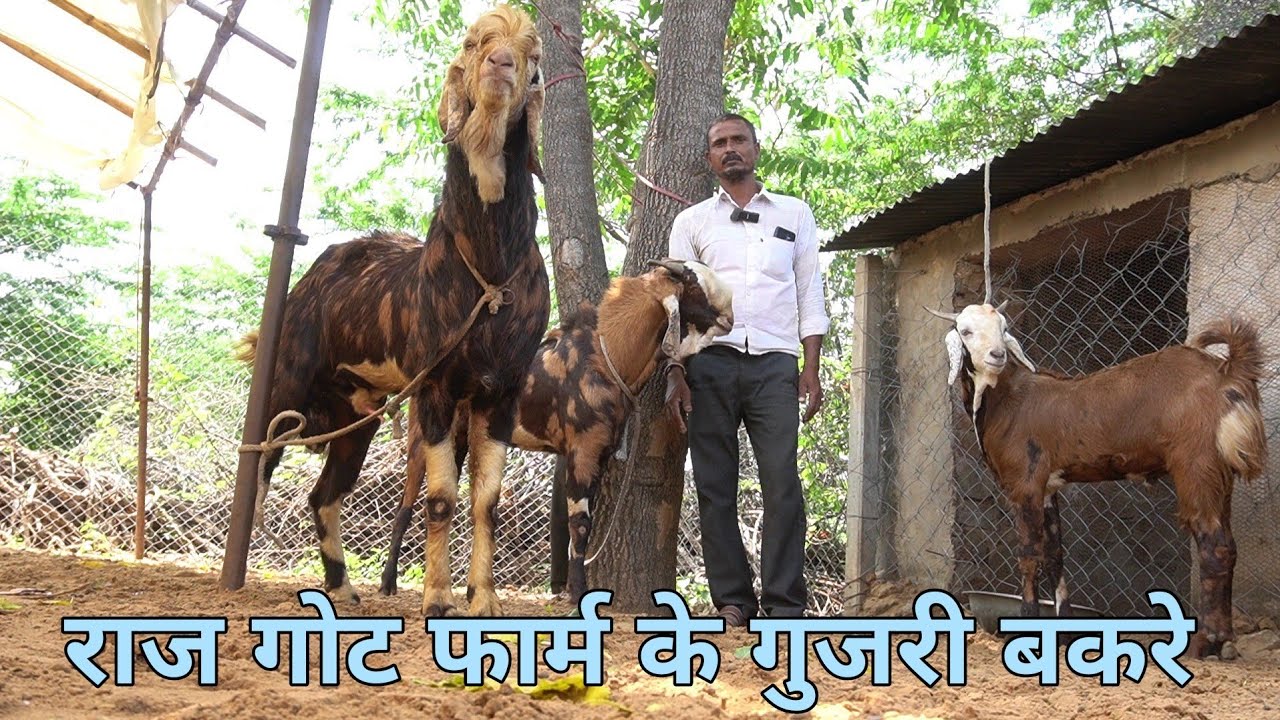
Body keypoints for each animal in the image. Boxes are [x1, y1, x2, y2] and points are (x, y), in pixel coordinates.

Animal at [239, 5, 549, 617]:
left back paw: (341, 586)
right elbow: (441, 499)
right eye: (474, 41)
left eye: (532, 53)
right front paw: (437, 599)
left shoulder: (500, 391)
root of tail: (305, 286)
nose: (500, 64)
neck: (489, 278)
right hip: (287, 381)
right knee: (260, 460)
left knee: (323, 494)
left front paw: (485, 601)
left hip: (357, 413)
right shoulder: (434, 386)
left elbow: (487, 502)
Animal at [376, 258, 735, 603]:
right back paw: (389, 582)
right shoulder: (582, 450)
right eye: (692, 286)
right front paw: (577, 591)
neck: (608, 359)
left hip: (462, 437)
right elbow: (580, 524)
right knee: (406, 505)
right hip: (423, 435)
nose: (730, 318)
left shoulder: (599, 453)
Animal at [929, 302, 1267, 658]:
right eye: (965, 331)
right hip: (1220, 472)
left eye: (1003, 328)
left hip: (1196, 466)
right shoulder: (1048, 487)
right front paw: (1062, 634)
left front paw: (1024, 630)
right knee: (1228, 545)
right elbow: (1055, 555)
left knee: (1214, 546)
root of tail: (1227, 371)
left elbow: (1028, 554)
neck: (1007, 398)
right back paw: (1225, 638)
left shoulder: (1025, 484)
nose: (997, 355)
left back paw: (1208, 642)